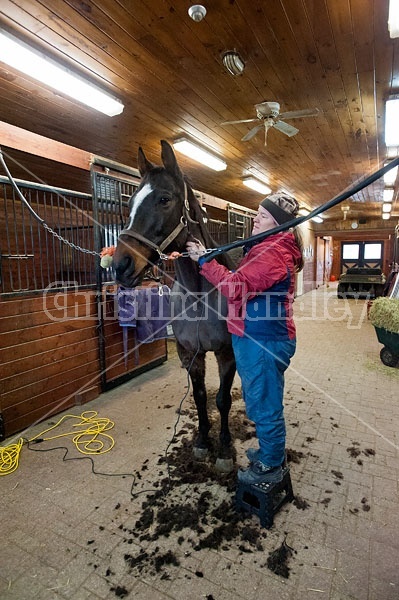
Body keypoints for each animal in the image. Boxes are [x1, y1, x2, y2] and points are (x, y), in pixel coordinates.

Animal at [112, 142, 238, 474]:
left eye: (164, 199)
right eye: (130, 202)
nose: (120, 266)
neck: (200, 295)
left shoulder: (226, 353)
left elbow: (223, 400)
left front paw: (224, 449)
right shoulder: (189, 353)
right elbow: (200, 397)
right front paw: (203, 442)